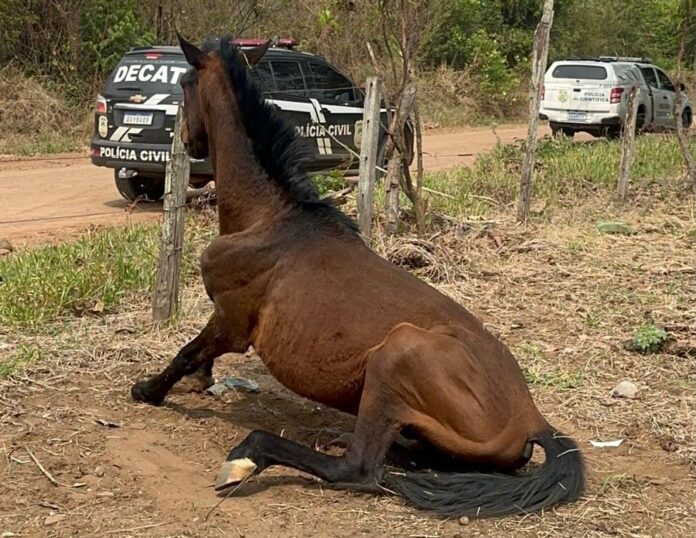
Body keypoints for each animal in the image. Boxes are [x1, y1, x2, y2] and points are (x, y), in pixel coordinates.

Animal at [128, 32, 584, 516]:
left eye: (184, 83)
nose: (186, 141)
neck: (268, 220)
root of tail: (533, 421)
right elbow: (196, 354)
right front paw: (198, 383)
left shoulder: (231, 323)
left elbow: (186, 352)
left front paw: (149, 390)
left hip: (396, 356)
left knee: (359, 469)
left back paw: (248, 456)